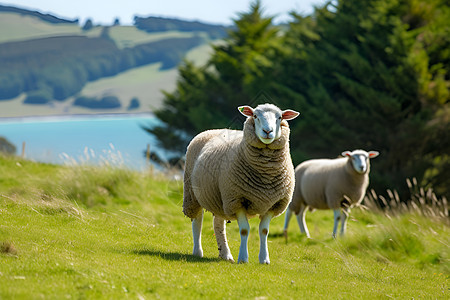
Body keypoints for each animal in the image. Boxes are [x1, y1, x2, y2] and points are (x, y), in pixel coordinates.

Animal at [183, 104, 298, 264]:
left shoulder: (274, 204)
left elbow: (264, 231)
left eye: (279, 117)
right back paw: (197, 251)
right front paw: (243, 258)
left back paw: (225, 254)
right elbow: (244, 230)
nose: (267, 131)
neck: (265, 175)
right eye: (255, 116)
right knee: (197, 221)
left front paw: (264, 259)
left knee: (218, 225)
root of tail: (213, 130)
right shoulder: (237, 200)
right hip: (193, 193)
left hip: (220, 199)